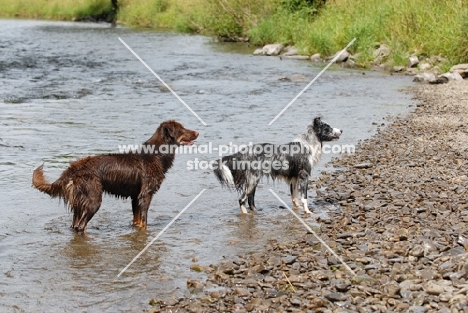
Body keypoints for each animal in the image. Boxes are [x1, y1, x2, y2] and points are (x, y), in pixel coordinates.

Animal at [32, 120, 197, 233]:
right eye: (182, 129)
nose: (197, 133)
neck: (158, 154)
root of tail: (72, 169)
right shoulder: (145, 195)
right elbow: (144, 222)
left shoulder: (135, 197)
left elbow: (137, 221)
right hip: (93, 200)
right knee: (81, 227)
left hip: (79, 203)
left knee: (75, 226)